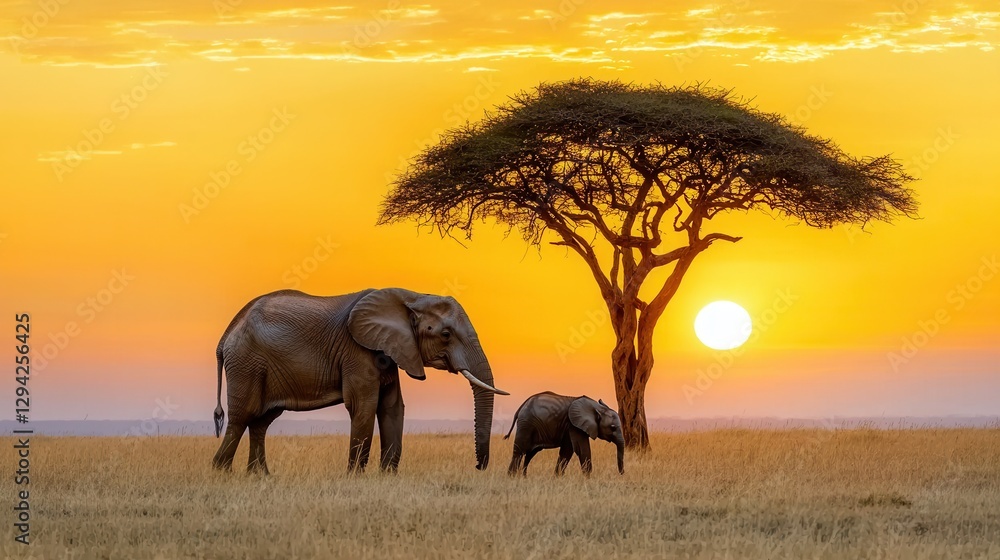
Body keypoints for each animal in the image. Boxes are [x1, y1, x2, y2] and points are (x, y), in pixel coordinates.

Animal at [211, 288, 508, 474]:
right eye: (445, 335)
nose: (478, 467)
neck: (411, 296)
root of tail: (227, 334)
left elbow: (392, 407)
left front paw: (387, 476)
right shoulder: (357, 351)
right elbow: (364, 406)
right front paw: (355, 476)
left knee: (261, 421)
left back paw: (260, 476)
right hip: (246, 363)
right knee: (242, 417)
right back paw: (222, 473)